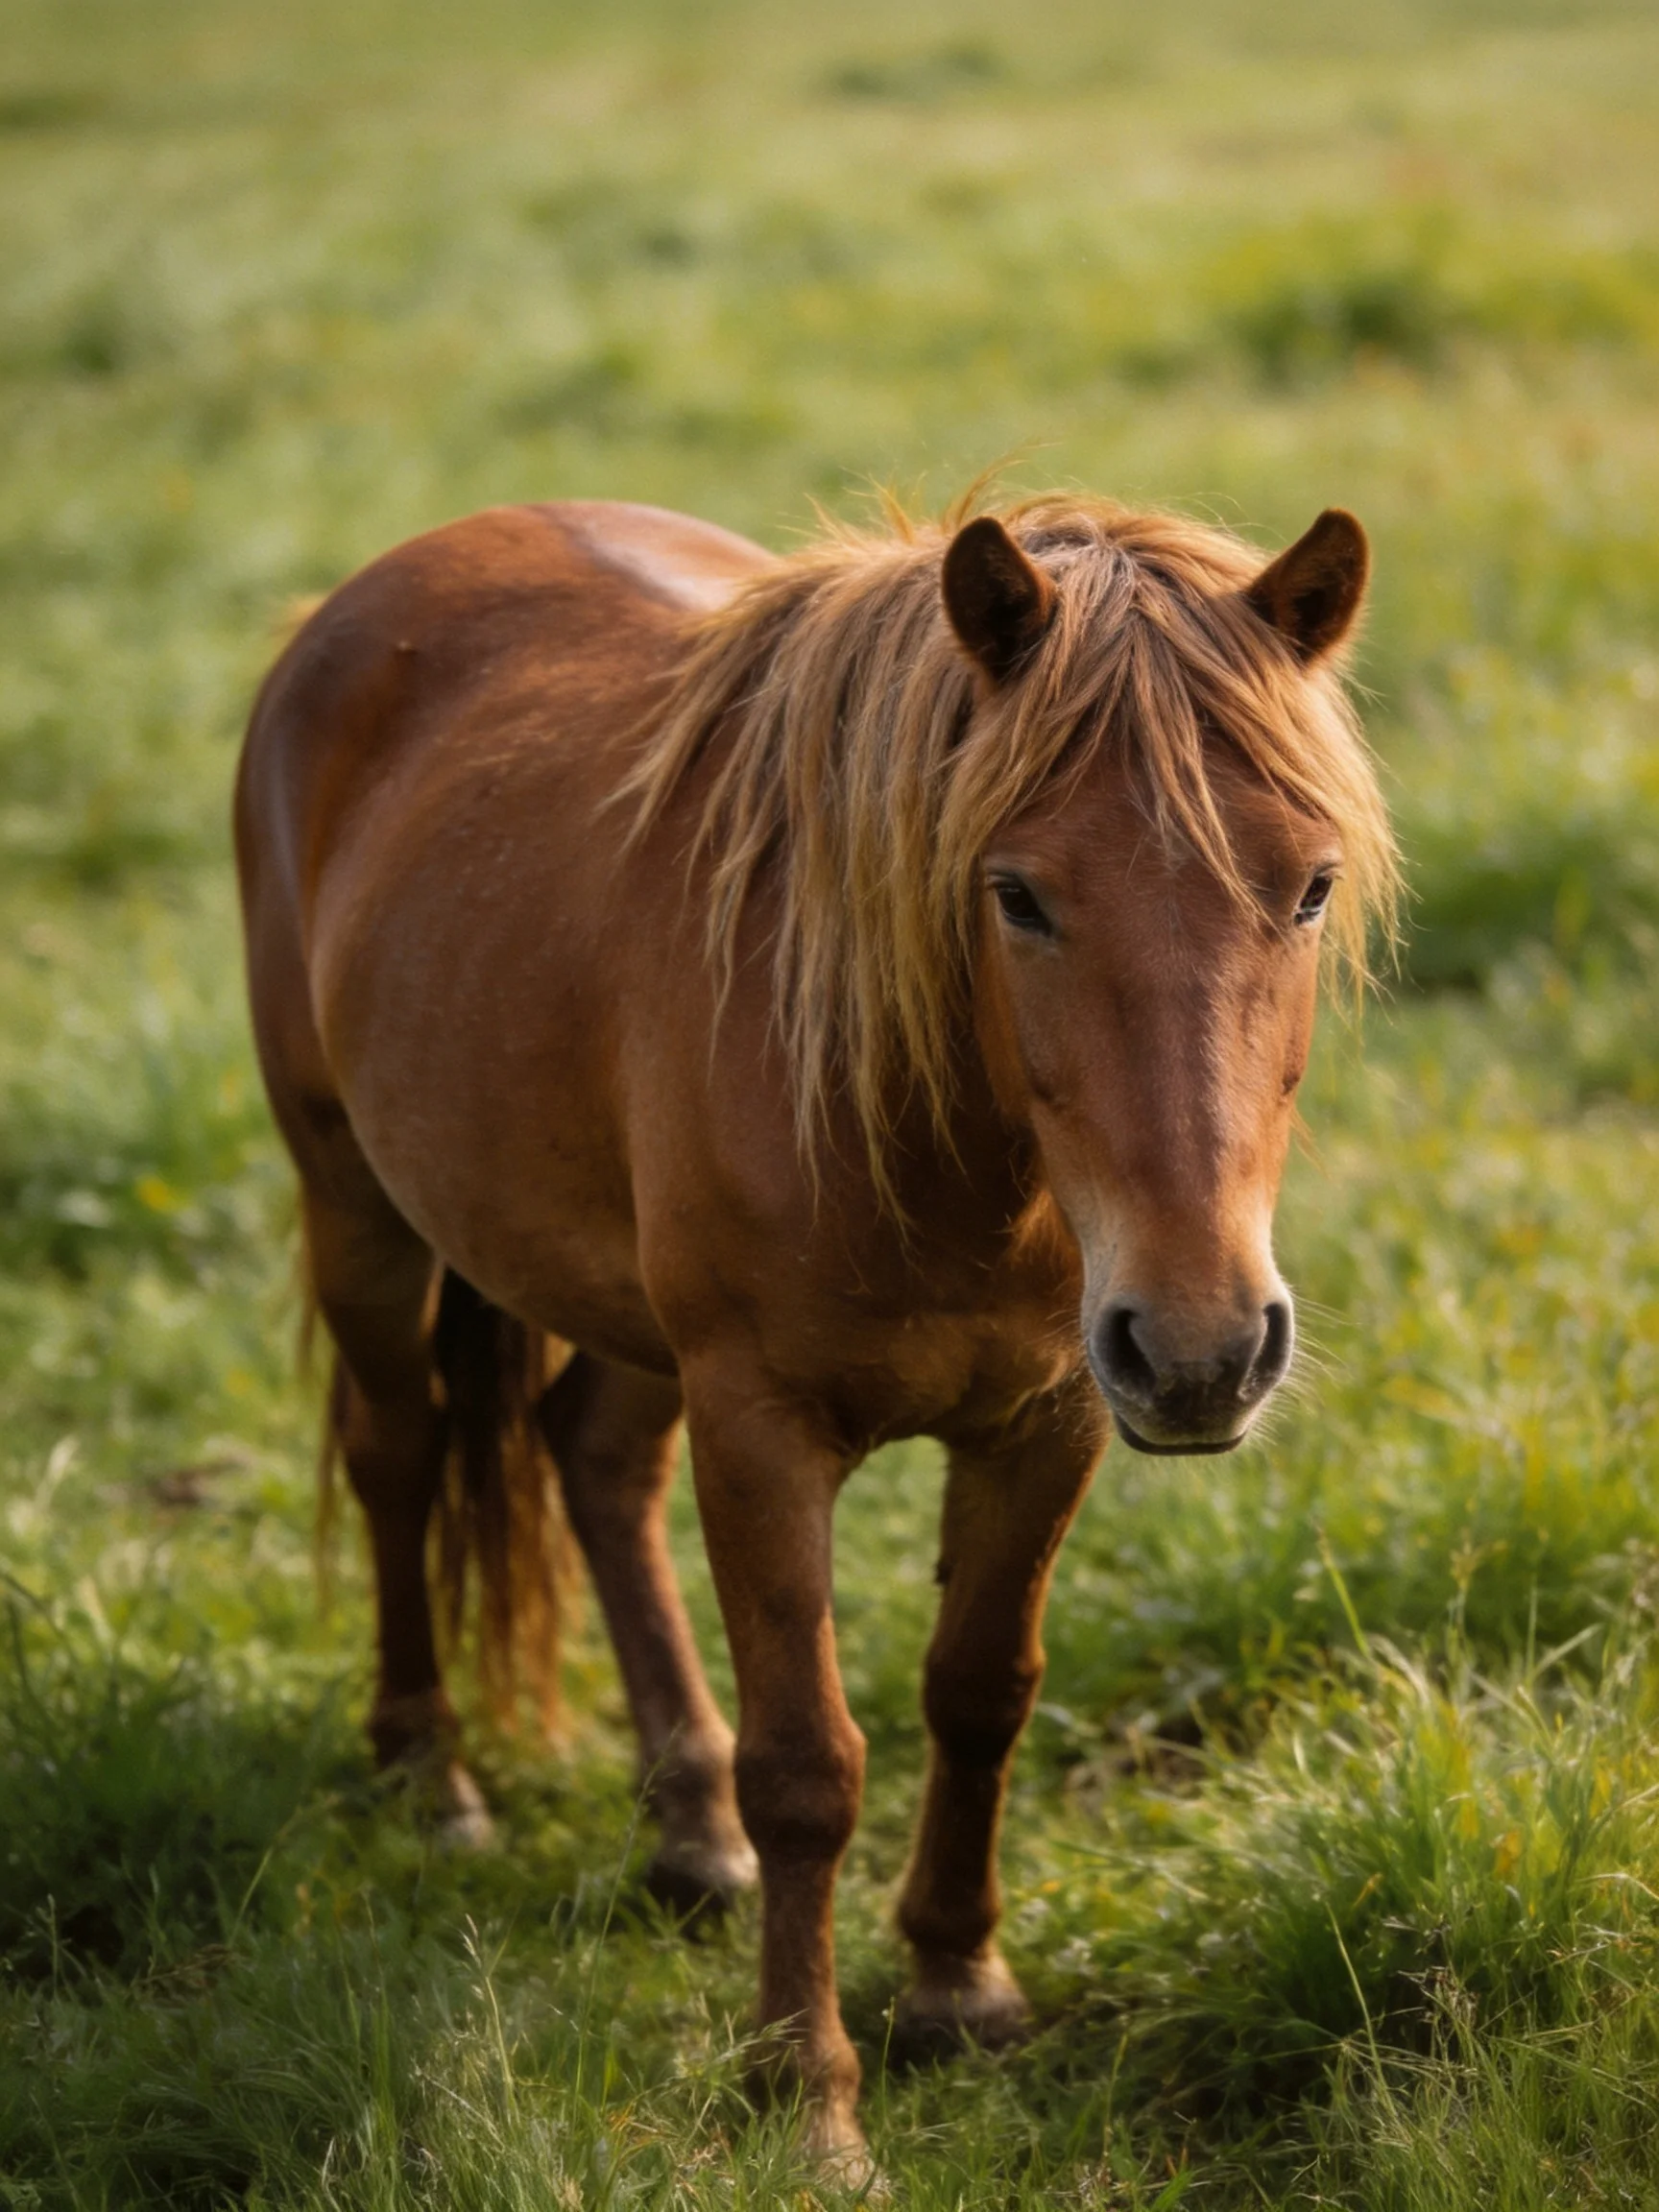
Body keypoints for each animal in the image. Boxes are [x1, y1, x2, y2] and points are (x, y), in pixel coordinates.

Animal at [234, 488, 1395, 2174]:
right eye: (1018, 891)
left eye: (1307, 885)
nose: (1202, 1347)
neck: (940, 1144)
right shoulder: (763, 1425)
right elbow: (809, 1764)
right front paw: (807, 2099)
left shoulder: (1047, 1419)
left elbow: (979, 1695)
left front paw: (961, 1991)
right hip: (357, 1204)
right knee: (401, 1455)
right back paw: (432, 1777)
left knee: (591, 1463)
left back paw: (686, 1831)